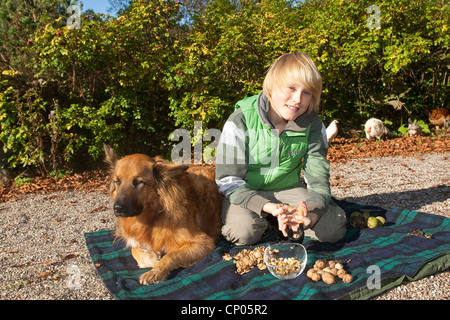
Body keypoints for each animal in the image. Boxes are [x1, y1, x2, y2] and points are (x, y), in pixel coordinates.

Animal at [102, 145, 221, 284]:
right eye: (117, 181)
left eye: (138, 182)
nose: (117, 208)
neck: (155, 213)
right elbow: (134, 248)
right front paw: (152, 259)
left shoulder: (203, 242)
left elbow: (172, 254)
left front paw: (156, 271)